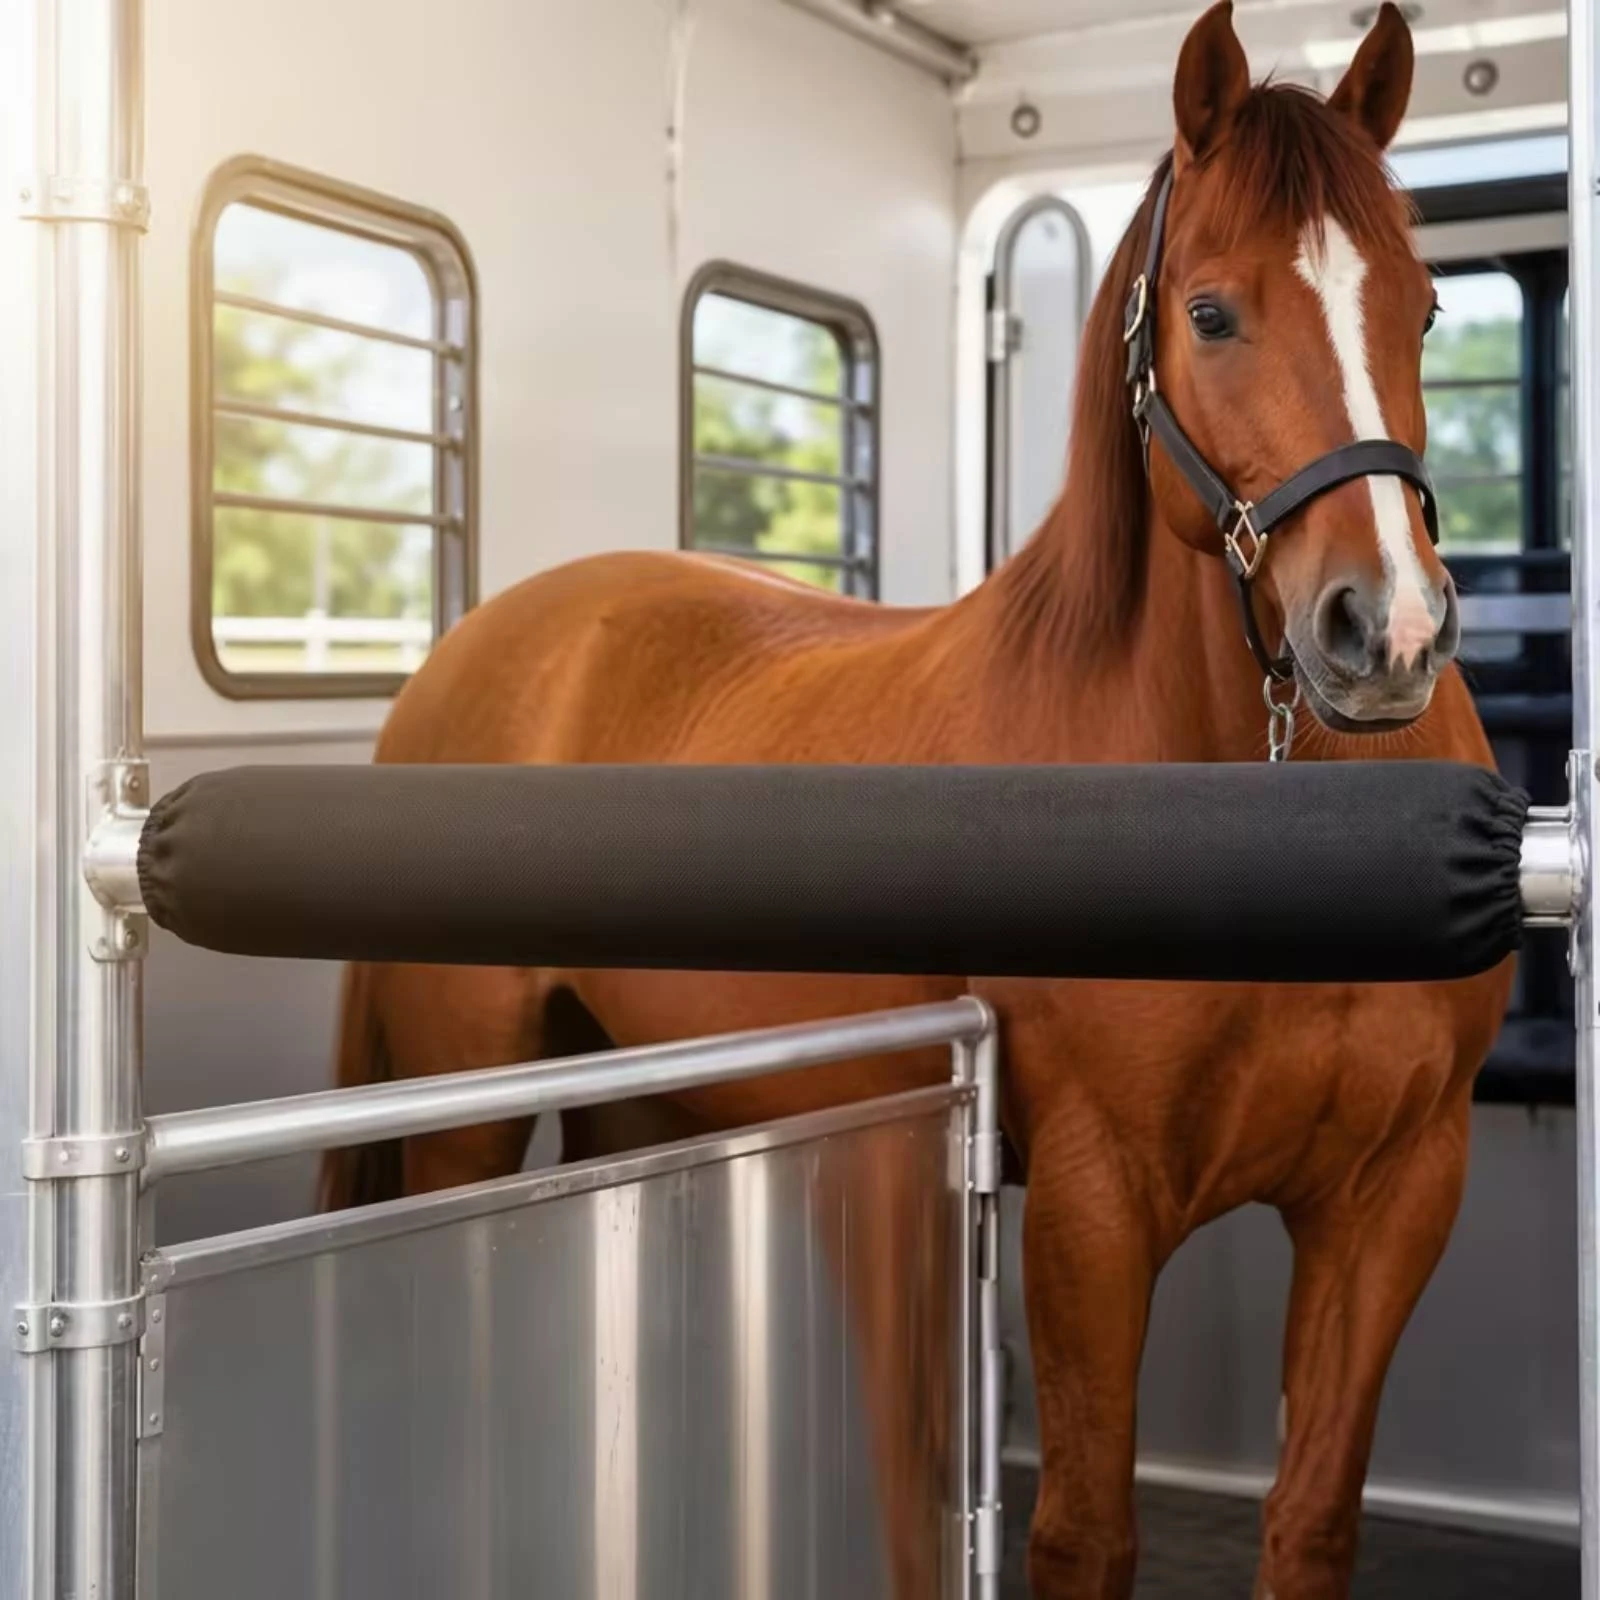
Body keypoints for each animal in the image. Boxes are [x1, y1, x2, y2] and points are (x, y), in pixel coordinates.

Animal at [320, 5, 1513, 1594]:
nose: (1383, 633)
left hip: (638, 1094)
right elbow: (1085, 1532)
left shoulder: (1395, 1193)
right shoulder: (1092, 1201)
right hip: (466, 1096)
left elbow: (1311, 1520)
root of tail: (473, 651)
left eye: (1426, 309)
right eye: (1210, 314)